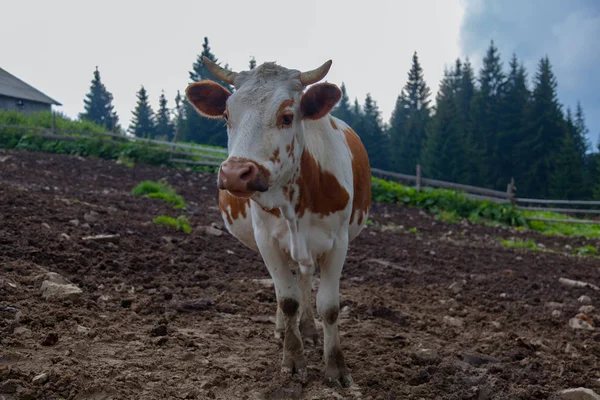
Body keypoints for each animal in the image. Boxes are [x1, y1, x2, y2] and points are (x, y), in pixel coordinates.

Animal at [185, 57, 370, 388]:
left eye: (286, 116)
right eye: (227, 115)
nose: (235, 174)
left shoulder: (338, 243)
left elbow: (329, 306)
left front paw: (336, 367)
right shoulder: (267, 241)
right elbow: (287, 299)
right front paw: (293, 359)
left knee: (305, 278)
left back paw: (307, 328)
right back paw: (285, 329)